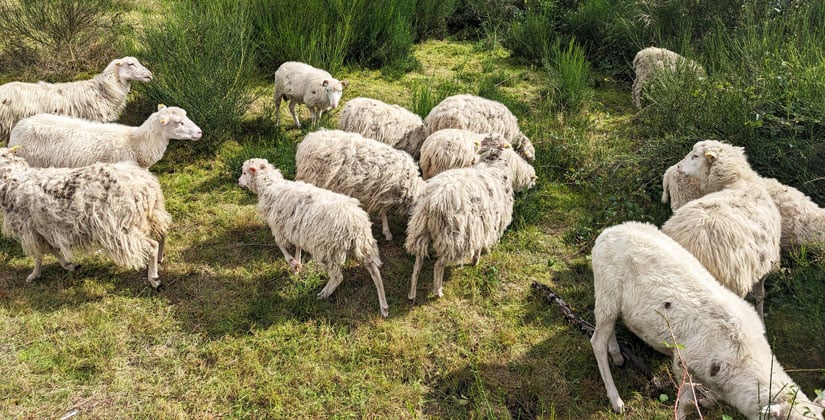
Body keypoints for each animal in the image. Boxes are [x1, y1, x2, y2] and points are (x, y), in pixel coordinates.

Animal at [0, 147, 170, 288]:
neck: (12, 178)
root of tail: (144, 184)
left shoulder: (29, 230)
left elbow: (39, 254)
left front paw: (34, 275)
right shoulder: (43, 229)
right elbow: (51, 250)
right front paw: (69, 265)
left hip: (120, 228)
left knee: (152, 245)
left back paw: (154, 279)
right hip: (151, 215)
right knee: (162, 233)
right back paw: (160, 258)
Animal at [238, 158, 389, 317]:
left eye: (244, 172)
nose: (238, 181)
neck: (269, 185)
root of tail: (356, 223)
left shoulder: (279, 227)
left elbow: (281, 246)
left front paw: (293, 263)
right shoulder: (296, 230)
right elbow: (297, 247)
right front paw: (297, 266)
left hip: (327, 249)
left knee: (338, 277)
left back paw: (323, 294)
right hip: (363, 245)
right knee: (375, 271)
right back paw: (384, 306)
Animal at [295, 129, 426, 242]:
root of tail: (307, 141)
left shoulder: (382, 192)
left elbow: (383, 210)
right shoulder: (384, 191)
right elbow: (384, 211)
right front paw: (387, 232)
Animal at [405, 134, 515, 300]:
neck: (491, 165)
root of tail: (432, 201)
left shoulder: (479, 226)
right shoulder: (484, 225)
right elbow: (478, 248)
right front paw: (475, 262)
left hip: (420, 230)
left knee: (417, 264)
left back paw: (412, 293)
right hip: (452, 237)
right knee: (438, 265)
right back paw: (438, 292)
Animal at [591, 221, 825, 419]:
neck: (745, 354)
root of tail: (609, 231)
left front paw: (706, 401)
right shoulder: (684, 363)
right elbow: (685, 403)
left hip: (610, 300)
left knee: (607, 330)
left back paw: (617, 355)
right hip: (607, 290)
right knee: (597, 341)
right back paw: (616, 399)